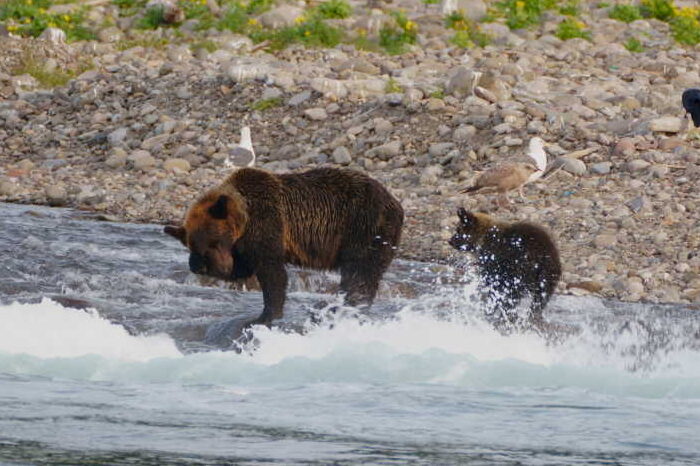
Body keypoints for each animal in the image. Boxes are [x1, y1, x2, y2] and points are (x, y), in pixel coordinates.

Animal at [165, 167, 404, 328]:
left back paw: (340, 307)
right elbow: (244, 269)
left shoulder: (267, 224)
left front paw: (265, 316)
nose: (223, 266)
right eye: (199, 247)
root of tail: (396, 203)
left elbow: (273, 274)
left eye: (215, 241)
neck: (245, 218)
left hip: (364, 227)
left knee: (360, 272)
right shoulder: (244, 247)